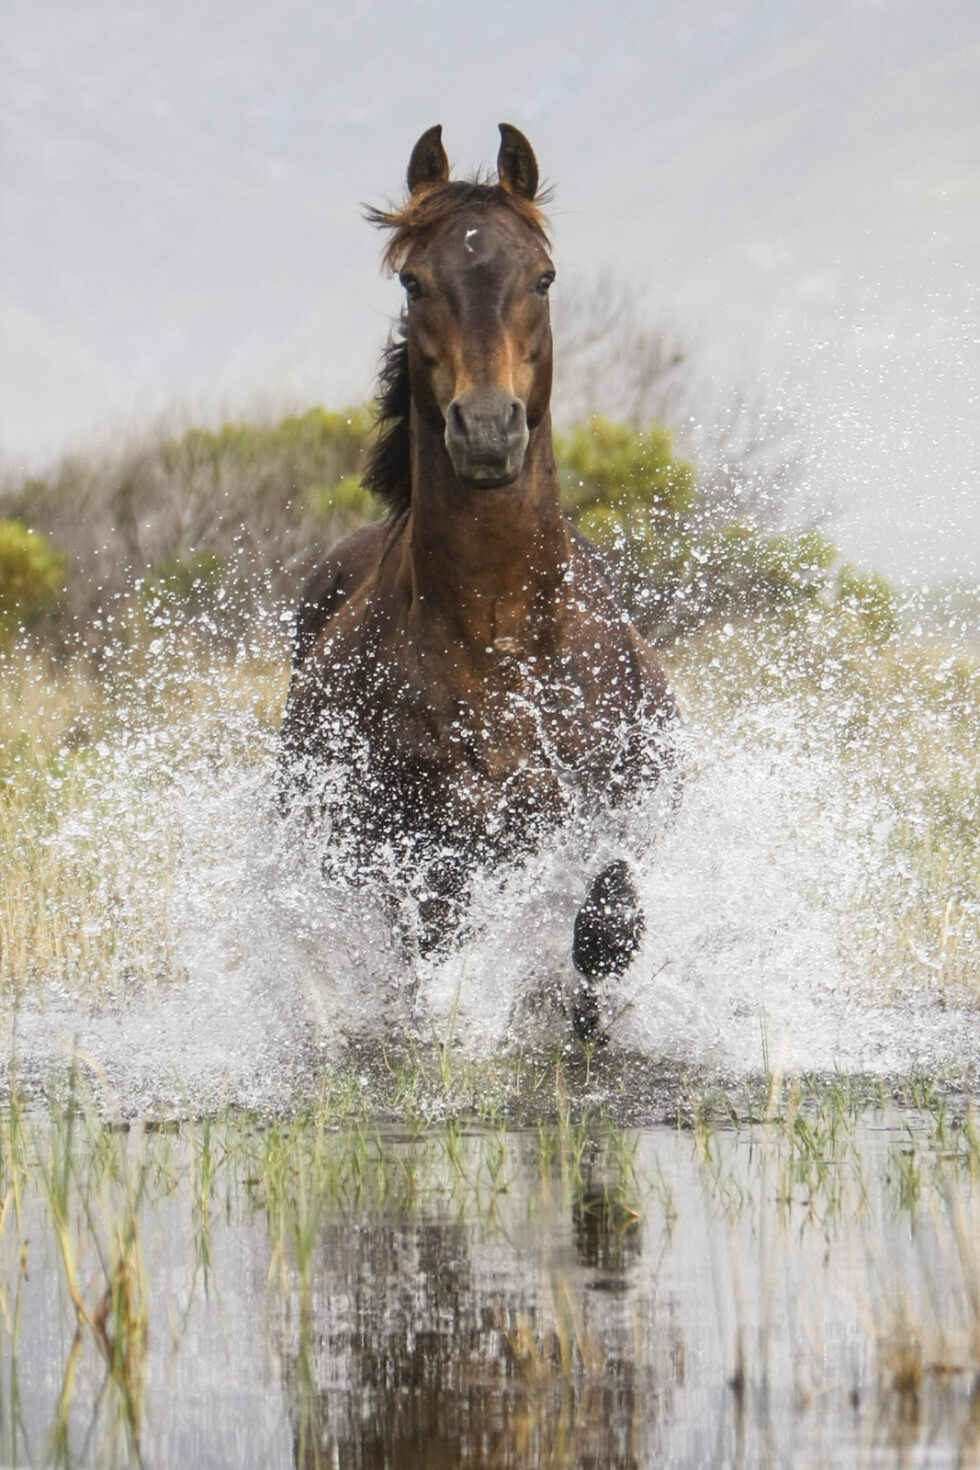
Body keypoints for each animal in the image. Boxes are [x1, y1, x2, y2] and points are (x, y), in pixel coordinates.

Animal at [280, 124, 678, 1040]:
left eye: (543, 275)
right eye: (414, 280)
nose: (489, 431)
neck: (497, 632)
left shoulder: (604, 818)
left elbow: (607, 921)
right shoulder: (428, 849)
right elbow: (440, 947)